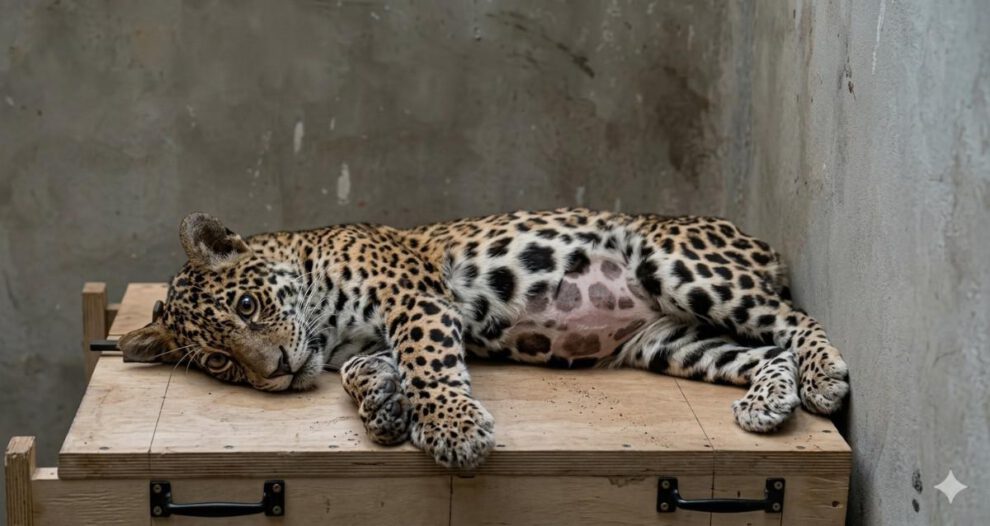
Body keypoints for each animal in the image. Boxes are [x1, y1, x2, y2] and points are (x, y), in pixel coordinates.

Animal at [119, 209, 849, 469]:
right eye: (220, 361)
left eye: (247, 304)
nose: (274, 370)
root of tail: (760, 242)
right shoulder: (362, 342)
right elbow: (365, 371)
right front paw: (383, 407)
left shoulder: (415, 298)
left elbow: (429, 364)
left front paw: (452, 430)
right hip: (671, 339)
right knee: (766, 351)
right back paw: (769, 405)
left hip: (678, 265)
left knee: (794, 320)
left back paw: (824, 377)